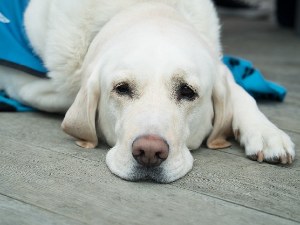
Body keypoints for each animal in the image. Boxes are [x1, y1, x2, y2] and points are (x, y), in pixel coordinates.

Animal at [0, 0, 296, 183]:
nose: (150, 152)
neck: (143, 7)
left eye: (187, 91)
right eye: (121, 89)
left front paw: (267, 133)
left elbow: (240, 92)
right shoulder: (28, 84)